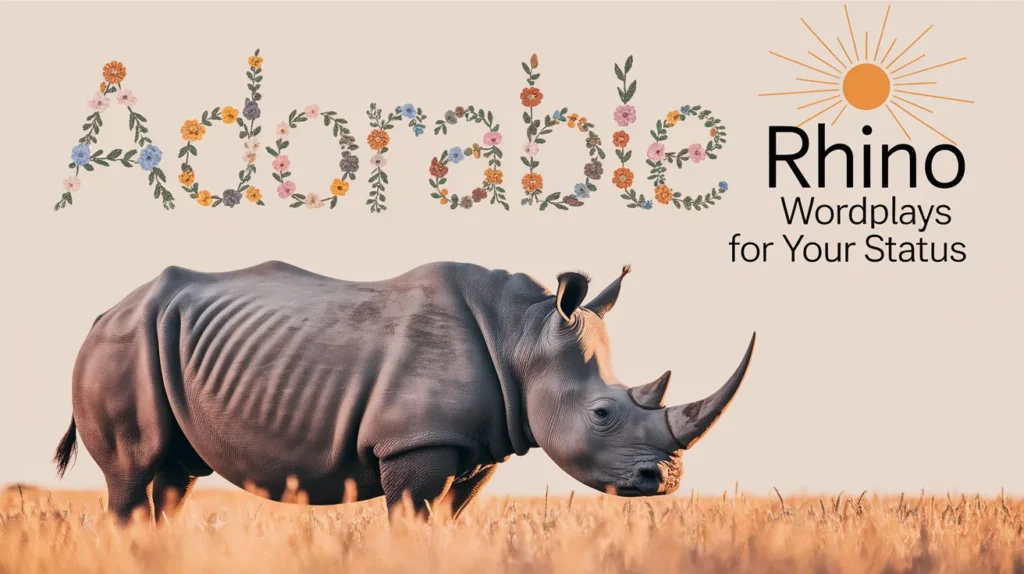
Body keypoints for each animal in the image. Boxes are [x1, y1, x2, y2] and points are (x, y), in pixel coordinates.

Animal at [53, 261, 754, 522]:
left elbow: (448, 520)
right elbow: (412, 518)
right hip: (123, 343)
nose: (664, 481)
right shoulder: (414, 443)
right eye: (603, 413)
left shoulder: (476, 447)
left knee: (175, 476)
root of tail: (102, 312)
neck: (521, 334)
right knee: (132, 472)